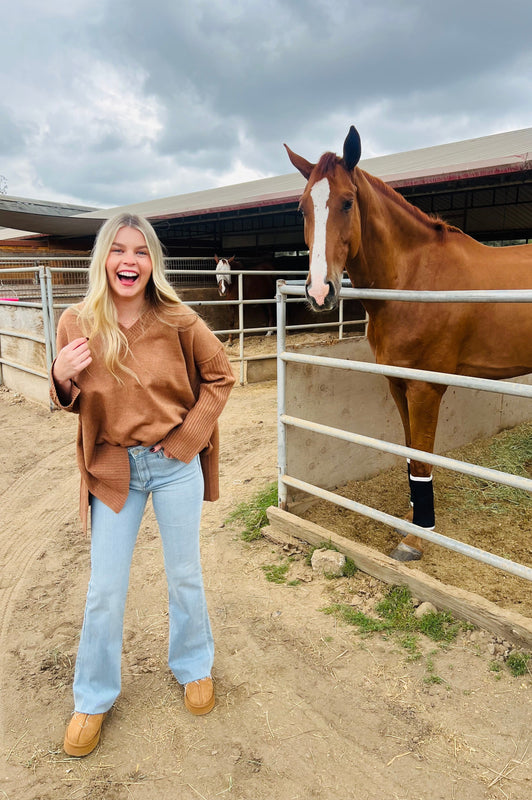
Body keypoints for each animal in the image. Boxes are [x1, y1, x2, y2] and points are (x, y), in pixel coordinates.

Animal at [284, 126, 532, 564]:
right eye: (302, 208)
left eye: (347, 202)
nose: (318, 292)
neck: (414, 279)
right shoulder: (398, 384)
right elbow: (411, 453)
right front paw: (412, 520)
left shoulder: (425, 389)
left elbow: (423, 460)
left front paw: (417, 539)